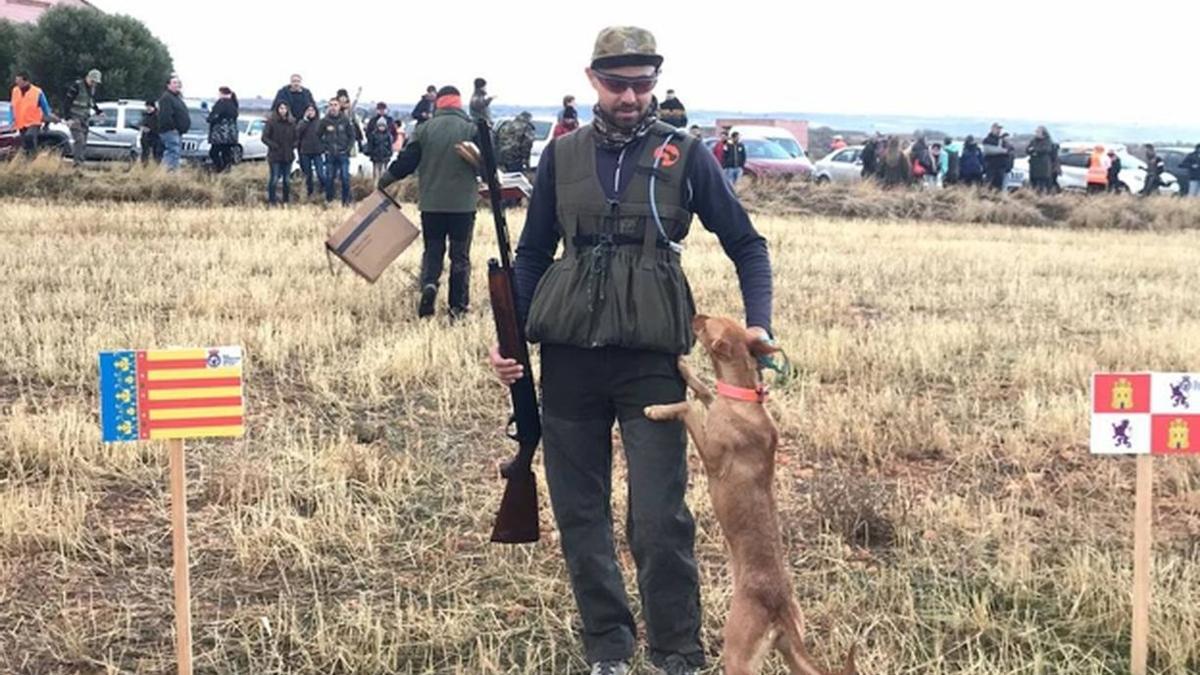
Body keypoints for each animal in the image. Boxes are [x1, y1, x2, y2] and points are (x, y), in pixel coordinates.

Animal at [643, 314, 859, 672]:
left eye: (707, 325)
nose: (694, 315)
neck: (743, 397)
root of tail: (779, 607)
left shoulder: (713, 458)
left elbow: (687, 407)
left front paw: (657, 409)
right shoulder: (715, 404)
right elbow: (704, 388)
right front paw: (684, 367)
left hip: (738, 654)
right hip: (791, 652)